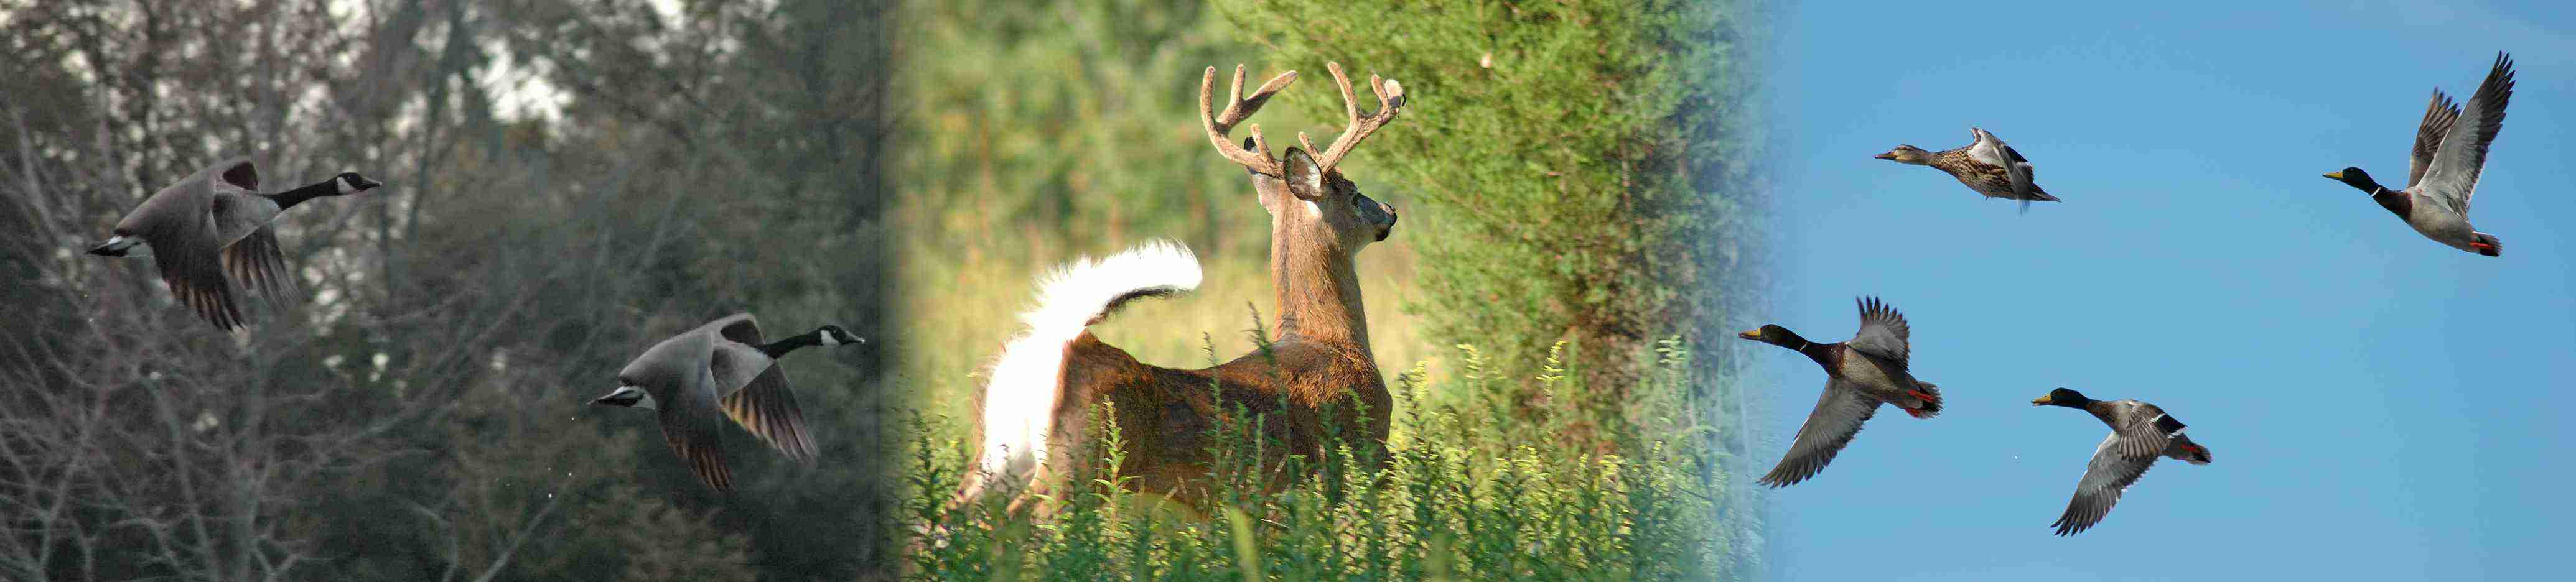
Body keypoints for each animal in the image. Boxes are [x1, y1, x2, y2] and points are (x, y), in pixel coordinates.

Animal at [958, 61, 1411, 512]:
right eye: (1353, 193)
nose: (1389, 211)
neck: (1329, 338)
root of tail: (1055, 345)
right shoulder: (1365, 447)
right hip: (1077, 458)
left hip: (998, 455)